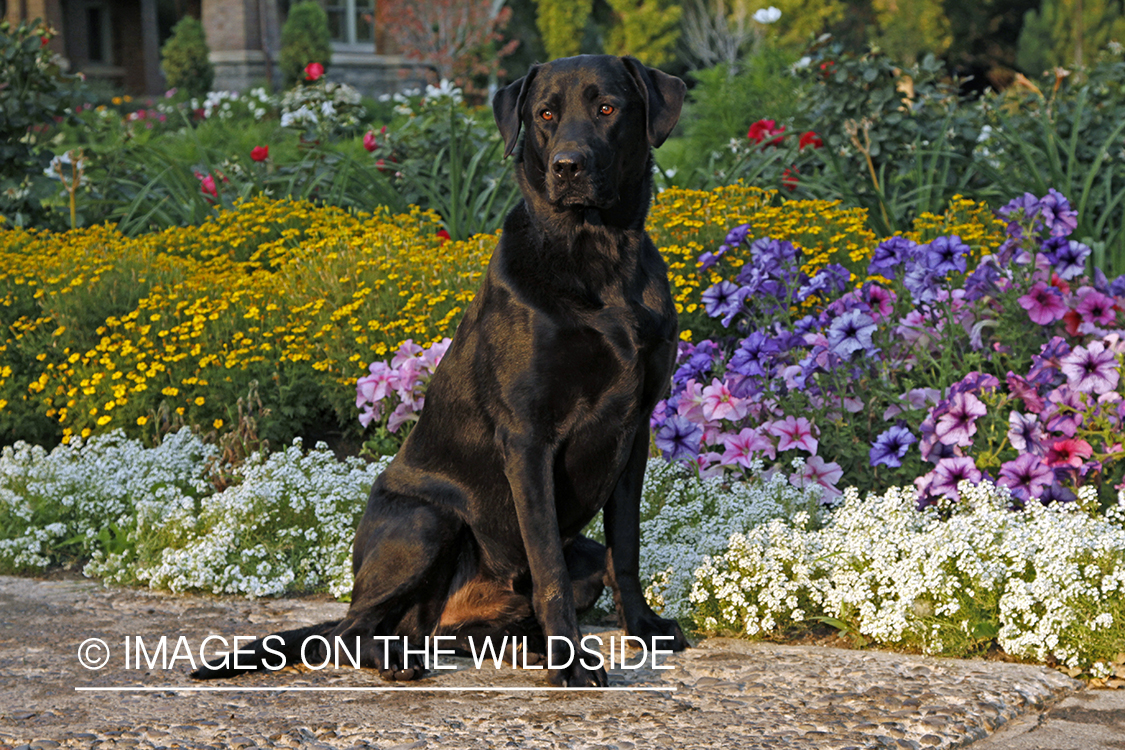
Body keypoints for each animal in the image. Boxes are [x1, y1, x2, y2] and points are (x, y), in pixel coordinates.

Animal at [192, 55, 684, 688]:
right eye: (545, 114)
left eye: (607, 108)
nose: (567, 166)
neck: (595, 256)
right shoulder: (528, 438)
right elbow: (548, 564)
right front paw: (571, 663)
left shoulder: (633, 431)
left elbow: (626, 547)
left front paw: (642, 629)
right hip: (428, 522)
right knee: (355, 630)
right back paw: (403, 659)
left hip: (568, 560)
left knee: (460, 626)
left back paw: (513, 646)